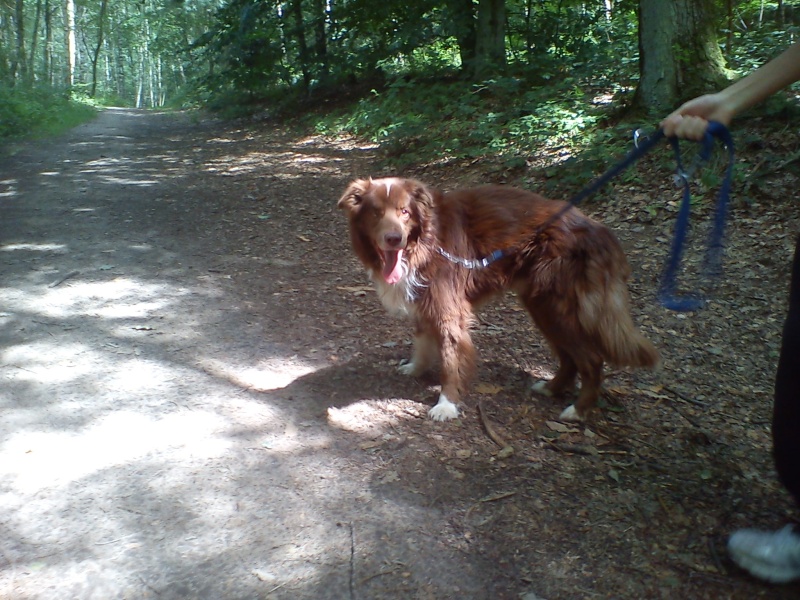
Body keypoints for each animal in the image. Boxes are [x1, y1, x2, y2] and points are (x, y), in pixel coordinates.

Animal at [338, 178, 656, 422]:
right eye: (376, 213)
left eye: (404, 212)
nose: (394, 238)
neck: (425, 242)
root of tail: (598, 230)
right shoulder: (424, 301)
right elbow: (422, 341)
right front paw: (416, 368)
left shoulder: (448, 310)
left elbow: (450, 360)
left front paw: (446, 404)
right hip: (541, 305)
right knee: (569, 356)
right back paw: (552, 389)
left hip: (556, 306)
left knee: (590, 358)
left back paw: (578, 411)